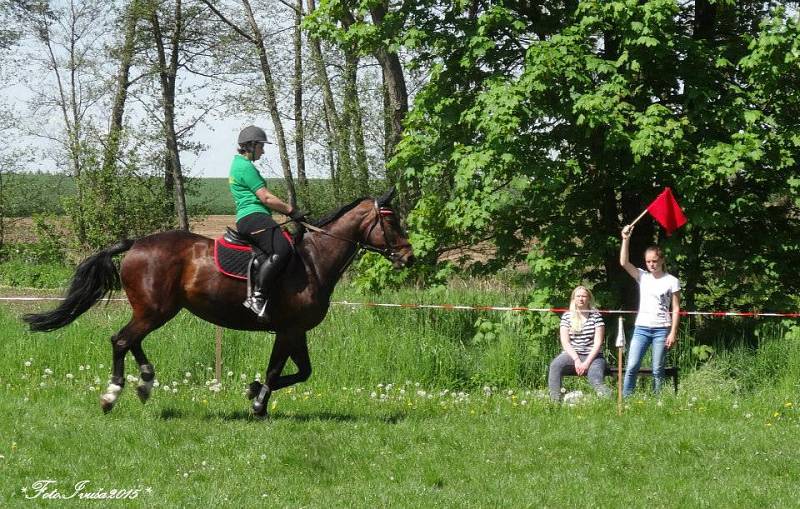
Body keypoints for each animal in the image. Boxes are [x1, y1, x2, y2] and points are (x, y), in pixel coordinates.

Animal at [22, 190, 416, 416]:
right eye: (392, 220)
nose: (409, 256)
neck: (313, 261)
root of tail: (135, 243)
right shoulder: (287, 330)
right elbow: (277, 371)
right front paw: (257, 403)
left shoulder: (296, 331)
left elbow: (302, 372)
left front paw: (255, 393)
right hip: (155, 311)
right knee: (121, 340)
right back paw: (112, 395)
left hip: (154, 311)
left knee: (129, 340)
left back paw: (145, 382)